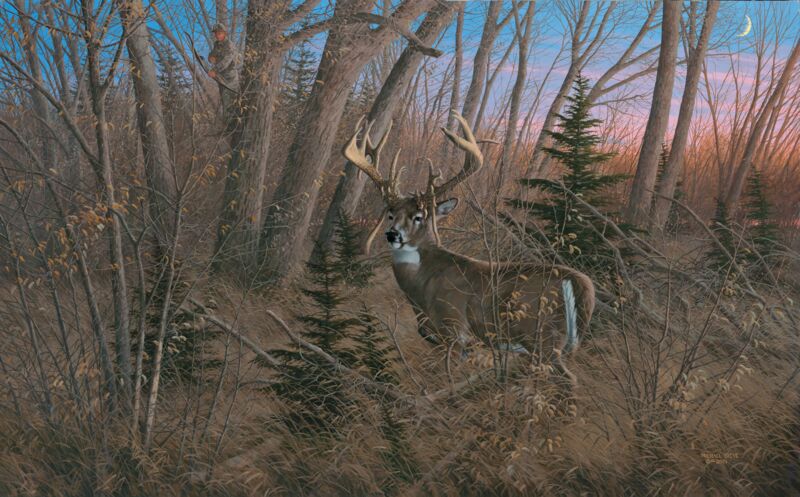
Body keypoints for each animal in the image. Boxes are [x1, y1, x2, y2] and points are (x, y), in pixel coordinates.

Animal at [342, 112, 595, 395]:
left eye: (419, 216)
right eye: (390, 214)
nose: (392, 235)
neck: (423, 287)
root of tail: (580, 283)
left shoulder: (453, 329)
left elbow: (448, 380)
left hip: (542, 338)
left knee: (569, 381)